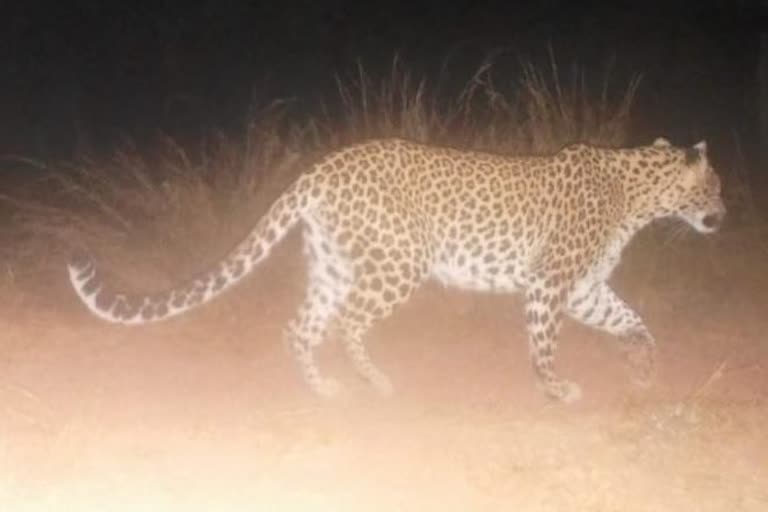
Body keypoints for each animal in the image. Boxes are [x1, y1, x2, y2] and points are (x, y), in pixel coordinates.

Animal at [67, 136, 728, 404]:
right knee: (347, 324)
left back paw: (325, 390)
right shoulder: (550, 282)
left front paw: (644, 367)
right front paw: (555, 388)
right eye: (716, 187)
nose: (724, 214)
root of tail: (320, 170)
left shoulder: (587, 287)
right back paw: (376, 382)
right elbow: (544, 343)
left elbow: (632, 318)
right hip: (399, 263)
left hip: (332, 265)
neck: (639, 197)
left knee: (301, 328)